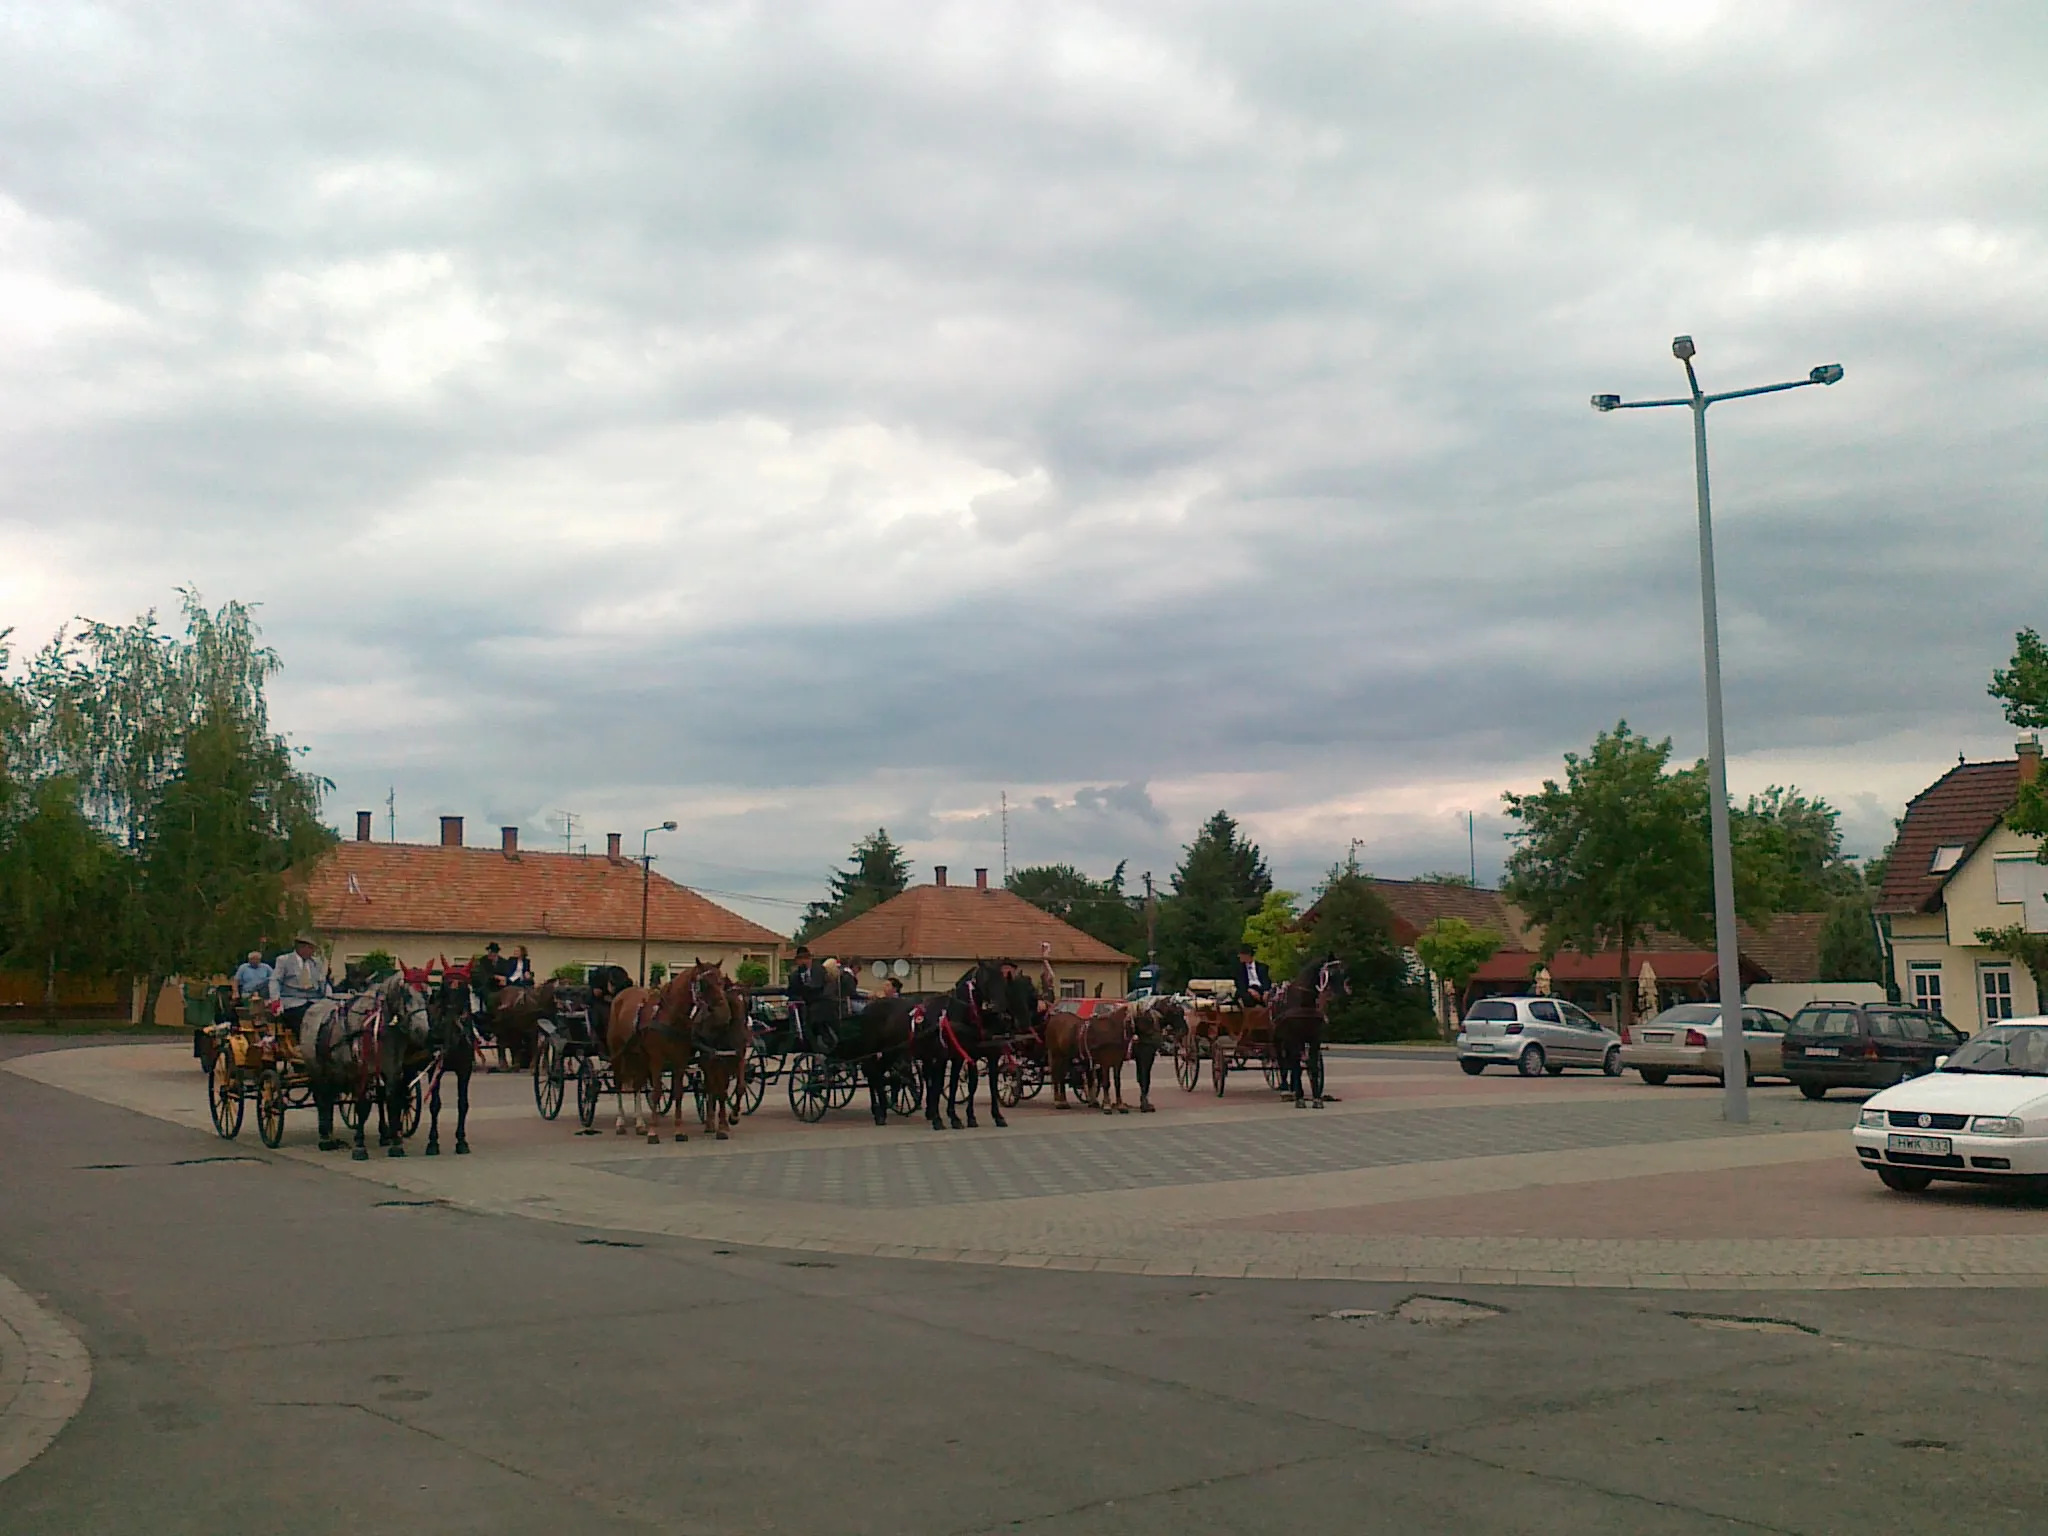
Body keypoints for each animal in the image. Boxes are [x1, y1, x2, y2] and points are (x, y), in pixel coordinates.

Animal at [1269, 958, 1351, 1114]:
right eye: (1330, 974)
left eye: (1343, 973)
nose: (1340, 996)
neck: (1304, 1003)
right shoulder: (1295, 1039)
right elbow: (1295, 1066)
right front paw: (1300, 1099)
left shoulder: (1314, 1039)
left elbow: (1312, 1066)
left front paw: (1317, 1099)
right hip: (1279, 1040)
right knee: (1283, 1063)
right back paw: (1285, 1090)